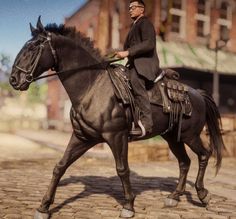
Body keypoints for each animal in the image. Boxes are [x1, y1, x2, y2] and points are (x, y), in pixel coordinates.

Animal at [9, 18, 225, 218]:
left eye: (33, 47)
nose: (13, 80)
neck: (92, 88)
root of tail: (197, 94)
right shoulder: (82, 137)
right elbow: (60, 166)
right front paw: (44, 206)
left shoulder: (116, 136)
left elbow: (122, 169)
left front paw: (128, 205)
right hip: (173, 137)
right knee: (184, 162)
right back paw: (174, 197)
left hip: (189, 135)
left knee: (204, 155)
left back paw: (203, 194)